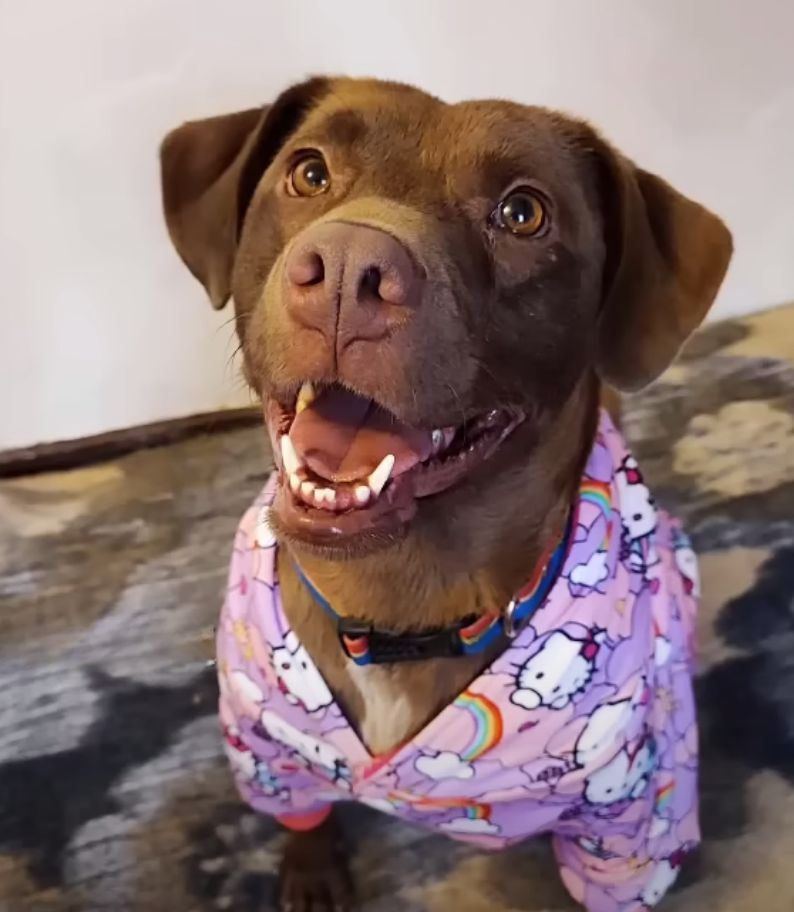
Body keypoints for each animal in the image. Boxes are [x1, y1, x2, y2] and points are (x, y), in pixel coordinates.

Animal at [159, 80, 732, 912]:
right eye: (308, 172)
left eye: (523, 213)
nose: (347, 270)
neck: (397, 605)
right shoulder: (264, 738)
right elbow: (301, 811)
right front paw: (311, 872)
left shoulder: (630, 816)